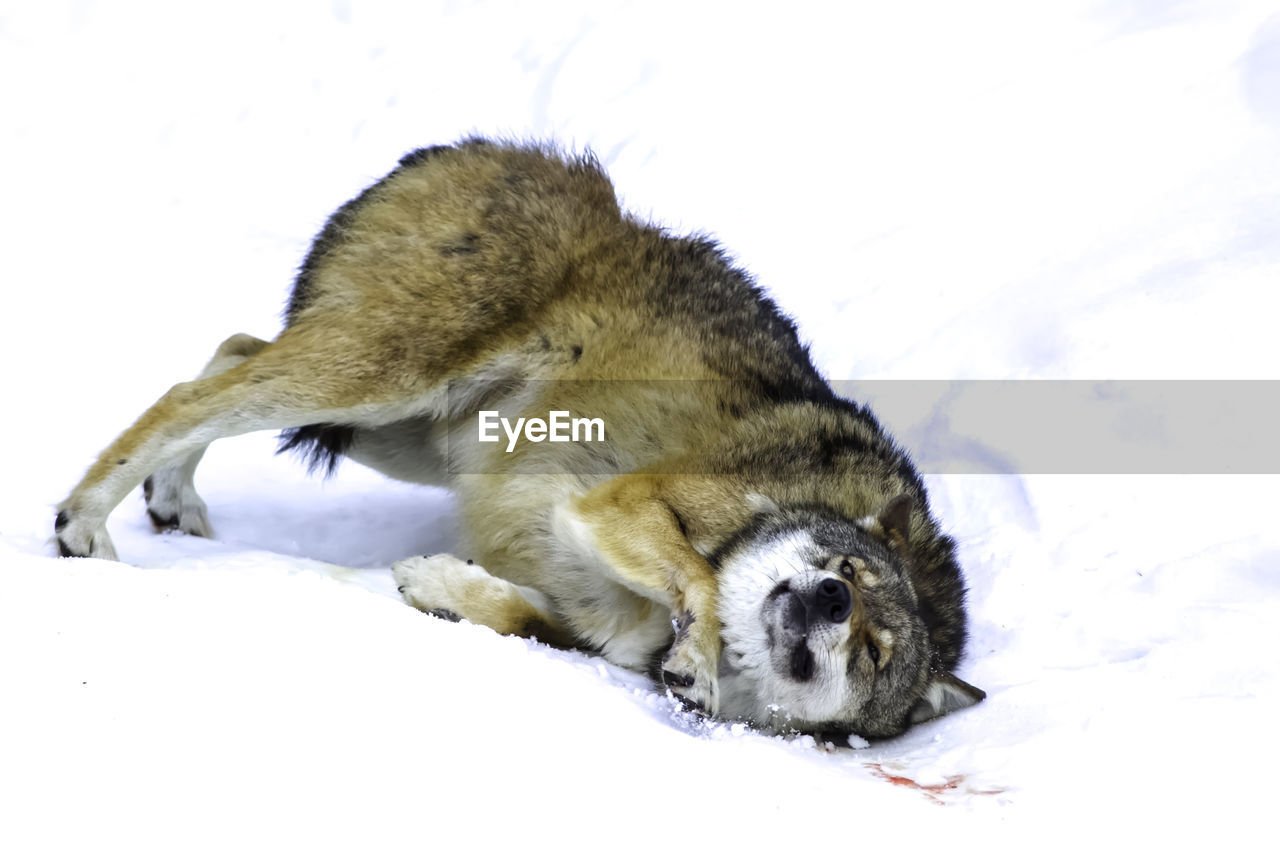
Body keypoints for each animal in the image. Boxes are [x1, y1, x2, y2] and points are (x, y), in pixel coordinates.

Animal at [55, 136, 983, 732]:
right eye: (849, 573)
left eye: (874, 649)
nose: (828, 599)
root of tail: (468, 150)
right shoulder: (623, 501)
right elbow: (697, 578)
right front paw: (701, 652)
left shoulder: (593, 623)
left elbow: (524, 621)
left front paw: (435, 584)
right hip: (382, 383)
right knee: (188, 393)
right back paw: (83, 526)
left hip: (399, 434)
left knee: (232, 349)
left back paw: (172, 500)